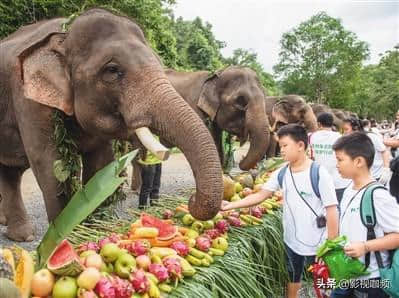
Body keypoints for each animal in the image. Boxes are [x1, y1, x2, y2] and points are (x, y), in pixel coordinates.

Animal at [0, 8, 225, 242]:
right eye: (112, 70)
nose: (191, 200)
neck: (64, 34)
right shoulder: (29, 101)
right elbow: (49, 163)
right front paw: (67, 242)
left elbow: (100, 162)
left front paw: (93, 231)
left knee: (10, 172)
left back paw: (20, 235)